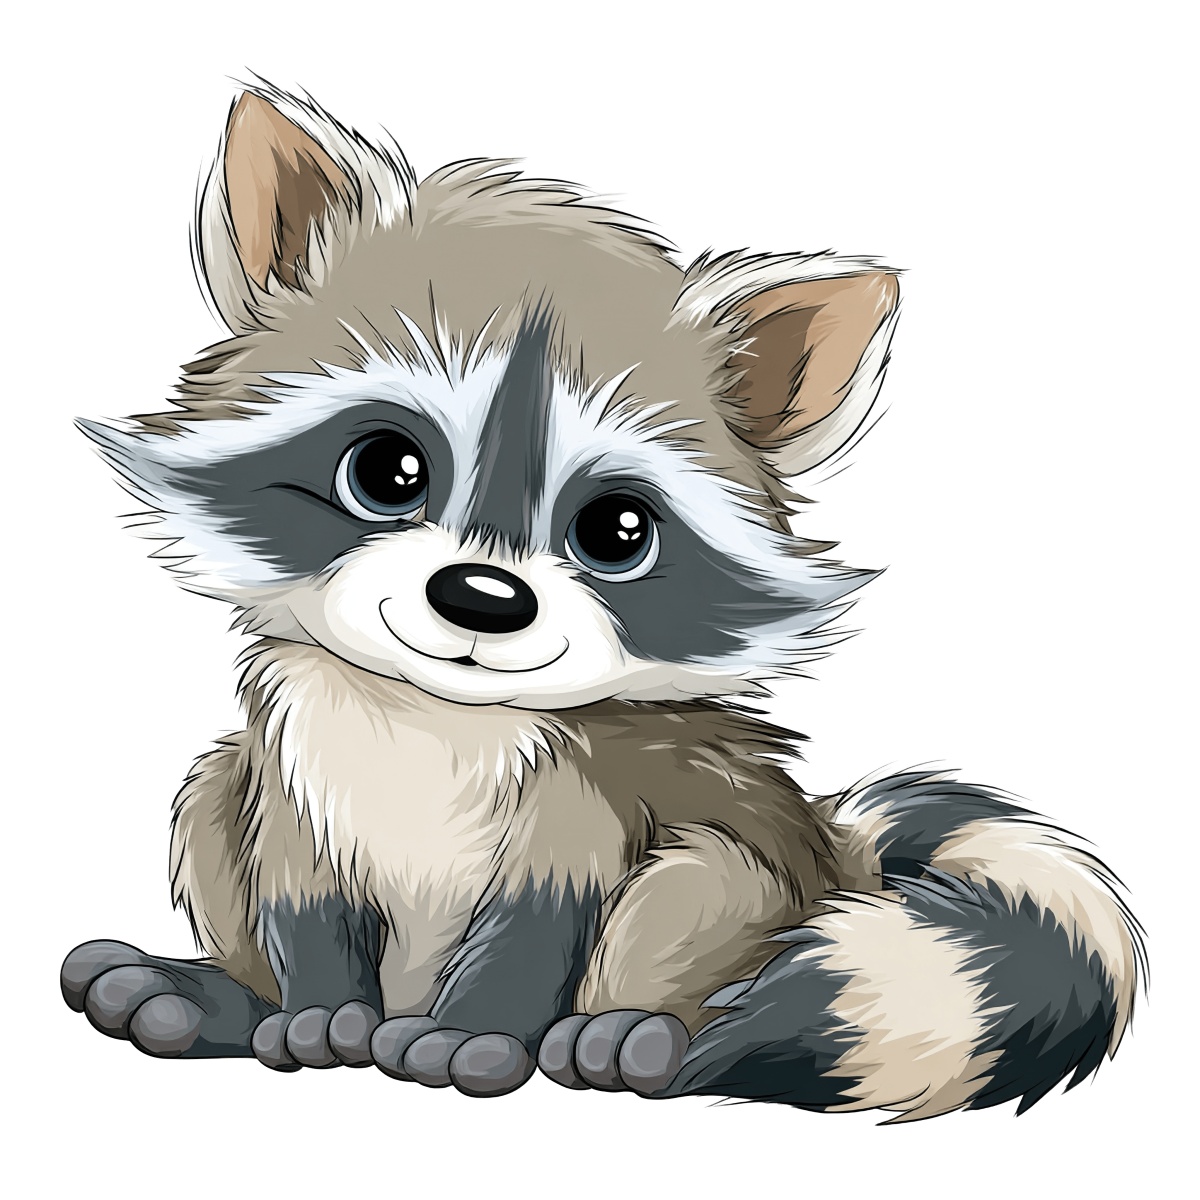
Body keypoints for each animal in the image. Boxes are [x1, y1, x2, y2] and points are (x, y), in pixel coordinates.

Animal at [62, 82, 1144, 1118]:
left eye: (616, 532)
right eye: (386, 470)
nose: (482, 600)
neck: (437, 712)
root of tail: (836, 854)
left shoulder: (594, 778)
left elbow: (552, 904)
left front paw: (475, 1033)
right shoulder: (294, 749)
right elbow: (298, 885)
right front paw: (318, 1008)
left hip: (756, 891)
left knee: (697, 882)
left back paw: (640, 1034)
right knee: (208, 793)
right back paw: (222, 997)